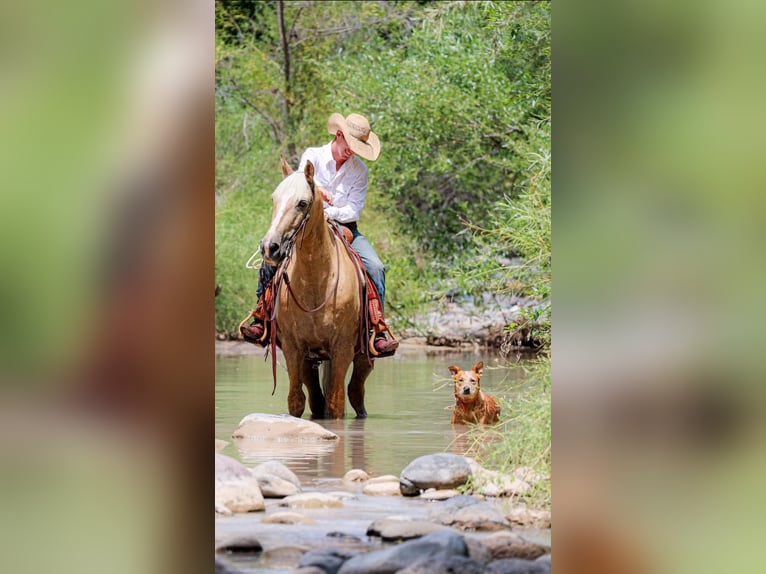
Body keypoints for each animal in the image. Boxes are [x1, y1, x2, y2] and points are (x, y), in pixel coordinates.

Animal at [259, 157, 373, 419]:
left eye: (302, 203)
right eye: (274, 198)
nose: (270, 247)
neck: (316, 282)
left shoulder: (342, 348)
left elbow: (336, 403)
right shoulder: (293, 347)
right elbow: (296, 401)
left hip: (362, 354)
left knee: (355, 391)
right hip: (309, 358)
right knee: (316, 398)